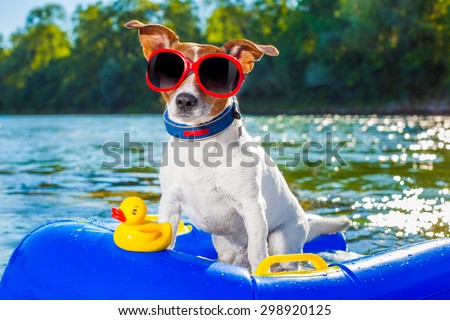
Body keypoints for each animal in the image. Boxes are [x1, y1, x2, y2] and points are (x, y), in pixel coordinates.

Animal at [125, 20, 350, 272]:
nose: (185, 100)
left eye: (215, 76)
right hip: (224, 246)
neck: (200, 144)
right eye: (170, 70)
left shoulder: (252, 208)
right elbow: (168, 239)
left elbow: (258, 254)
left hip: (283, 239)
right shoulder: (170, 203)